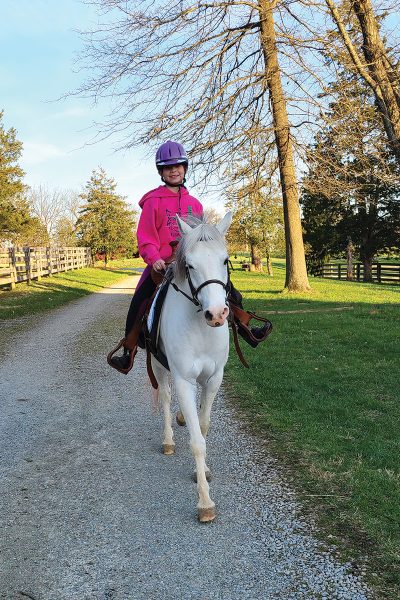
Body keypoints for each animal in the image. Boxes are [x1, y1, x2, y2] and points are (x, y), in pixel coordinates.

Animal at [151, 211, 233, 520]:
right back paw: (168, 440)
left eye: (225, 260)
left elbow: (204, 426)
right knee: (165, 399)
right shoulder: (183, 379)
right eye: (189, 264)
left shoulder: (213, 379)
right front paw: (205, 502)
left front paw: (204, 472)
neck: (200, 326)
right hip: (159, 367)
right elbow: (197, 441)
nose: (216, 314)